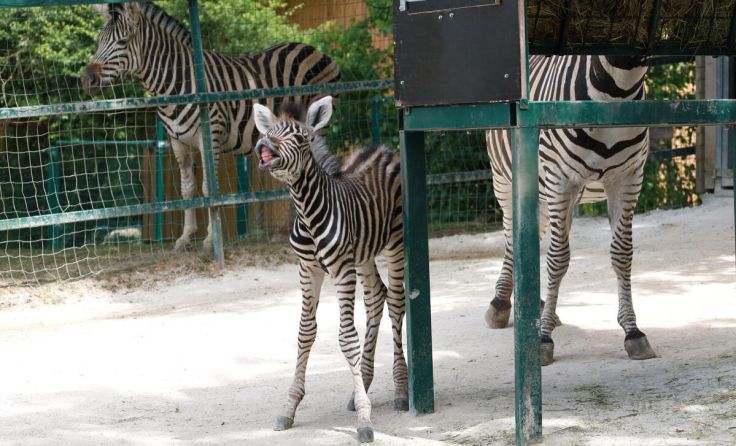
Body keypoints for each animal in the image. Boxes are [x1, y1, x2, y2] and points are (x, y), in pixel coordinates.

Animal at [82, 2, 339, 252]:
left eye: (122, 42)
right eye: (99, 40)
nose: (88, 80)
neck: (176, 82)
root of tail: (312, 48)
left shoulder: (210, 136)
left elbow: (209, 189)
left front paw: (210, 240)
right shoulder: (178, 141)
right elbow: (187, 188)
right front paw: (185, 238)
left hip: (315, 130)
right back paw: (285, 231)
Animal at [252, 96, 407, 443]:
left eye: (301, 138)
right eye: (269, 132)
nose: (263, 146)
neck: (308, 213)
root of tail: (384, 149)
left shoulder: (341, 269)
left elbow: (347, 337)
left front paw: (364, 420)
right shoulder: (308, 269)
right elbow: (305, 332)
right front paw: (289, 408)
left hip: (394, 242)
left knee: (395, 302)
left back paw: (402, 390)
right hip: (363, 254)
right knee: (376, 297)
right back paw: (363, 382)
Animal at [485, 55, 657, 366]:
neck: (617, 91)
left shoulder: (628, 179)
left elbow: (622, 254)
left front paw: (633, 331)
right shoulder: (560, 180)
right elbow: (558, 259)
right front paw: (543, 338)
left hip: (550, 197)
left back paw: (540, 306)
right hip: (505, 180)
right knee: (512, 238)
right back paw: (502, 304)